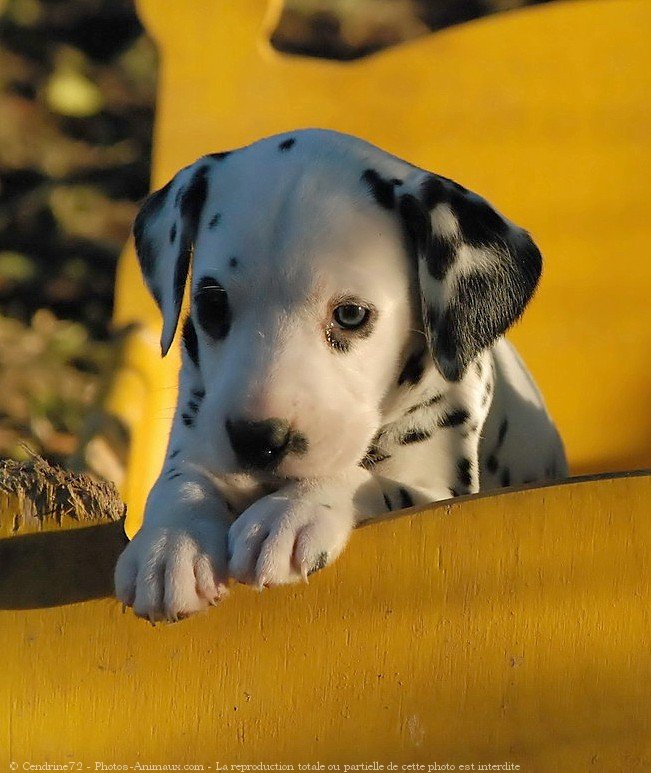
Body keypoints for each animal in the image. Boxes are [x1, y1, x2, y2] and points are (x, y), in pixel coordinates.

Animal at [114, 128, 568, 620]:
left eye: (350, 314)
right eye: (213, 305)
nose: (259, 440)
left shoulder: (441, 493)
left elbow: (375, 480)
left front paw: (294, 509)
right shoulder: (200, 428)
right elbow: (182, 479)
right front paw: (170, 542)